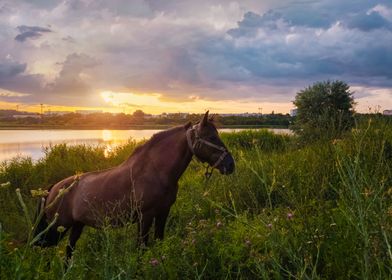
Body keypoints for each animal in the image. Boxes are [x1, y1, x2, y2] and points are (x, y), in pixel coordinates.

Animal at [33, 111, 234, 260]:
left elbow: (158, 241)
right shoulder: (145, 217)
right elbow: (141, 248)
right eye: (211, 137)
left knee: (68, 253)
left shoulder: (163, 213)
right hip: (57, 228)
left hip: (76, 226)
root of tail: (52, 189)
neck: (155, 172)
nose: (230, 165)